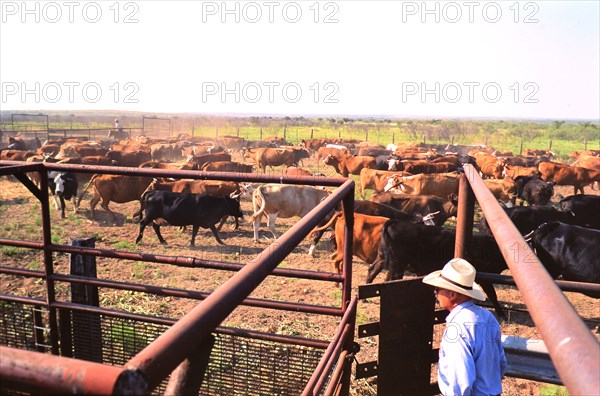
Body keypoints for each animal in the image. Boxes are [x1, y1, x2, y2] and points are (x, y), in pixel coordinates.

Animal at [366, 220, 506, 318]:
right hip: (398, 264)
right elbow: (492, 294)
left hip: (382, 257)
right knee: (393, 280)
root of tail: (396, 222)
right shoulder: (485, 277)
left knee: (373, 271)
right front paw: (501, 314)